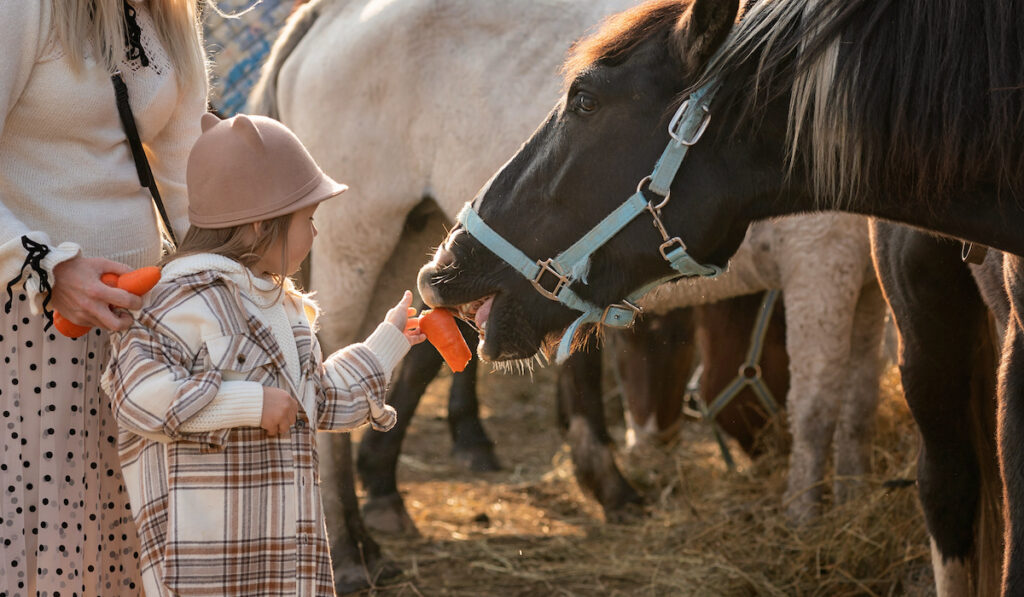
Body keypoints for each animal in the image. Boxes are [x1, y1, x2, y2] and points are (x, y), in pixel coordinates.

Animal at [251, 0, 884, 536]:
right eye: (584, 100)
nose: (765, 456)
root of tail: (327, 12)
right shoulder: (823, 261)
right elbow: (818, 403)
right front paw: (806, 523)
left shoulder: (869, 291)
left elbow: (859, 400)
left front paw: (855, 497)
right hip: (361, 241)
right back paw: (353, 550)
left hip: (415, 239)